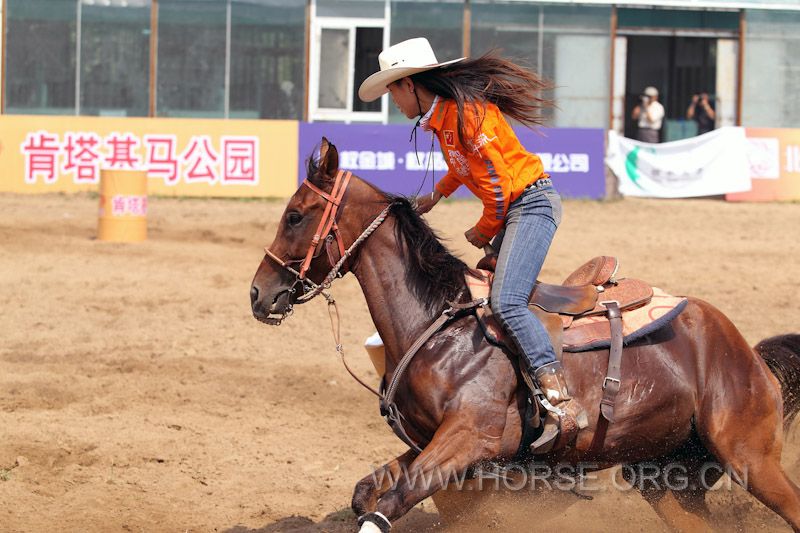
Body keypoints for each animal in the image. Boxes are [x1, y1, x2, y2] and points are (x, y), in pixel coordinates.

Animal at [250, 139, 800, 528]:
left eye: (295, 215)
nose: (259, 293)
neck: (438, 323)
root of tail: (747, 355)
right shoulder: (429, 440)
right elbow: (368, 492)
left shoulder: (470, 437)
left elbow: (392, 501)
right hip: (668, 479)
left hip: (750, 458)